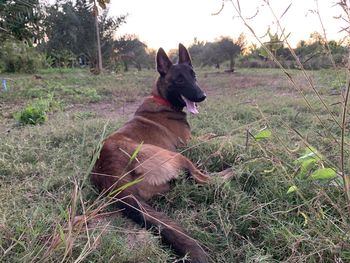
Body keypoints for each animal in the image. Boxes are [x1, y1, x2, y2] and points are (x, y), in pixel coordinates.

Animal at [89, 44, 219, 262]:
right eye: (180, 80)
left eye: (194, 76)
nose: (202, 96)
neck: (163, 100)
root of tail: (109, 171)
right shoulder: (190, 143)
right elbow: (214, 136)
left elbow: (211, 134)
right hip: (176, 156)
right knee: (205, 178)